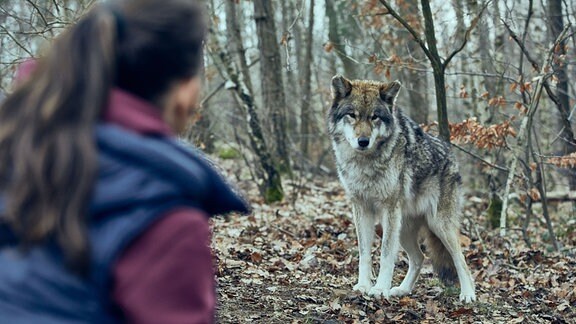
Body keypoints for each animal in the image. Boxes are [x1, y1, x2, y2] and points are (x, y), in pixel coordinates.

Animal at [328, 74, 476, 302]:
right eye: (352, 115)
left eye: (374, 117)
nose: (363, 141)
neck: (365, 163)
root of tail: (451, 156)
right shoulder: (361, 207)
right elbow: (364, 253)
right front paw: (364, 286)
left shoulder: (389, 208)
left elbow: (386, 253)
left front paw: (380, 289)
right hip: (404, 227)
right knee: (419, 258)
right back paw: (402, 290)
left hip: (438, 225)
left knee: (461, 259)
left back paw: (468, 294)